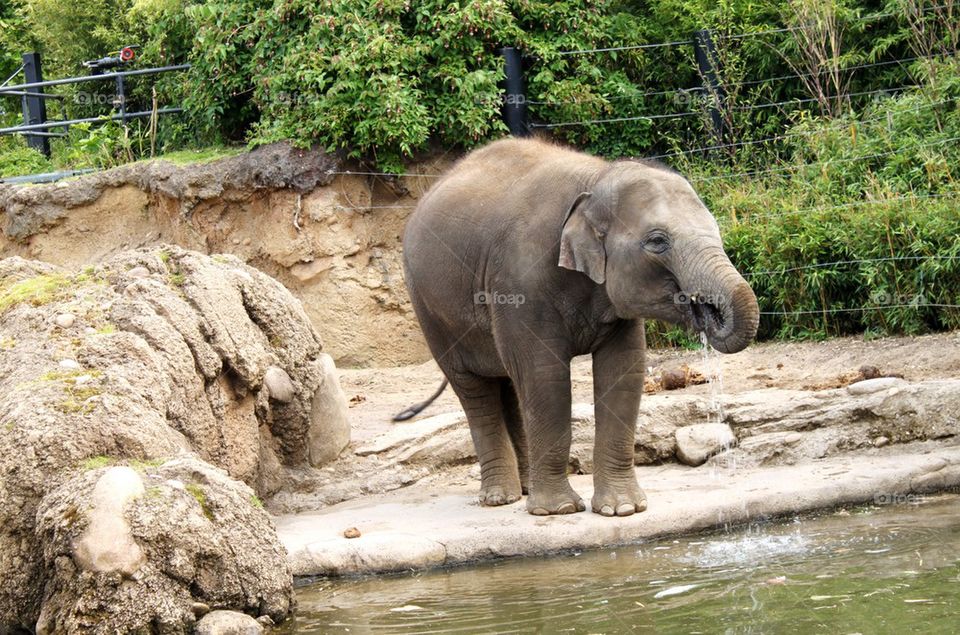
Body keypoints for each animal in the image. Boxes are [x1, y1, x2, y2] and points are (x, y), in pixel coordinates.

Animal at [401, 138, 759, 517]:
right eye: (657, 241)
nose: (707, 311)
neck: (596, 178)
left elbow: (623, 370)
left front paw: (622, 509)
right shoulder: (519, 280)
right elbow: (545, 376)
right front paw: (559, 510)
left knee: (509, 385)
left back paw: (524, 490)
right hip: (430, 311)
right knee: (476, 390)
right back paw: (501, 498)